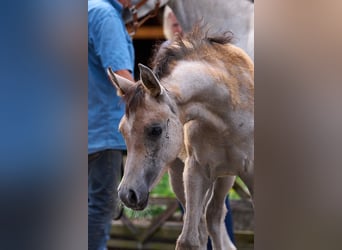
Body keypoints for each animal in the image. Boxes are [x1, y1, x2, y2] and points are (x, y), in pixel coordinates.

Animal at [107, 26, 254, 249]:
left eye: (155, 129)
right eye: (122, 131)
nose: (127, 194)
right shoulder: (195, 171)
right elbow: (189, 240)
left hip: (226, 176)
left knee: (214, 216)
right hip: (181, 175)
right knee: (207, 220)